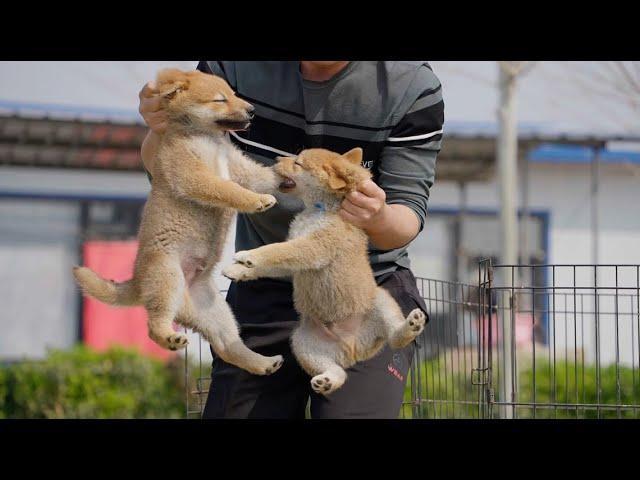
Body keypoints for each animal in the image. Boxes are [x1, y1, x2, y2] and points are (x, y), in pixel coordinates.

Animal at [74, 68, 284, 376]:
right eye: (220, 99)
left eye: (233, 94)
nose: (252, 110)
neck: (207, 138)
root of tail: (137, 281)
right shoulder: (195, 175)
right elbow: (230, 190)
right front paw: (257, 200)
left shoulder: (240, 167)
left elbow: (264, 175)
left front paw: (293, 172)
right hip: (167, 278)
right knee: (154, 325)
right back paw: (168, 337)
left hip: (215, 311)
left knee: (228, 346)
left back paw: (264, 363)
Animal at [222, 147, 428, 394]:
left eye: (298, 163)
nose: (277, 158)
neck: (320, 209)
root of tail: (352, 348)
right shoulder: (298, 260)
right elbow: (272, 263)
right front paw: (237, 270)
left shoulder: (313, 248)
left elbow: (276, 250)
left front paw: (248, 256)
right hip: (303, 342)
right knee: (338, 372)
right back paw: (327, 381)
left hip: (381, 301)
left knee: (395, 339)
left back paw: (411, 326)